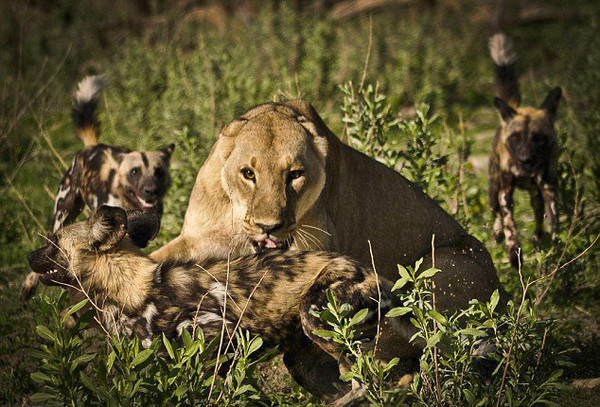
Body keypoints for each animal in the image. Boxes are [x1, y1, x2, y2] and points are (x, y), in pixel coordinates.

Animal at [20, 75, 173, 300]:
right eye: (134, 172)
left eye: (159, 172)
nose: (150, 190)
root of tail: (92, 146)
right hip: (62, 215)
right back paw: (28, 286)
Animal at [27, 207, 404, 404]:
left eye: (53, 242)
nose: (28, 257)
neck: (129, 288)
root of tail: (374, 275)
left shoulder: (221, 337)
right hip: (302, 360)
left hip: (322, 321)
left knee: (374, 381)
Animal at [488, 33, 564, 270]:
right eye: (514, 138)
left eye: (538, 138)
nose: (524, 160)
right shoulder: (505, 191)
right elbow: (509, 223)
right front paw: (513, 253)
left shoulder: (548, 187)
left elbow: (553, 219)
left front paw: (555, 245)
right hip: (494, 189)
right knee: (496, 213)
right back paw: (498, 233)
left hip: (535, 194)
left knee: (538, 213)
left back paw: (539, 239)